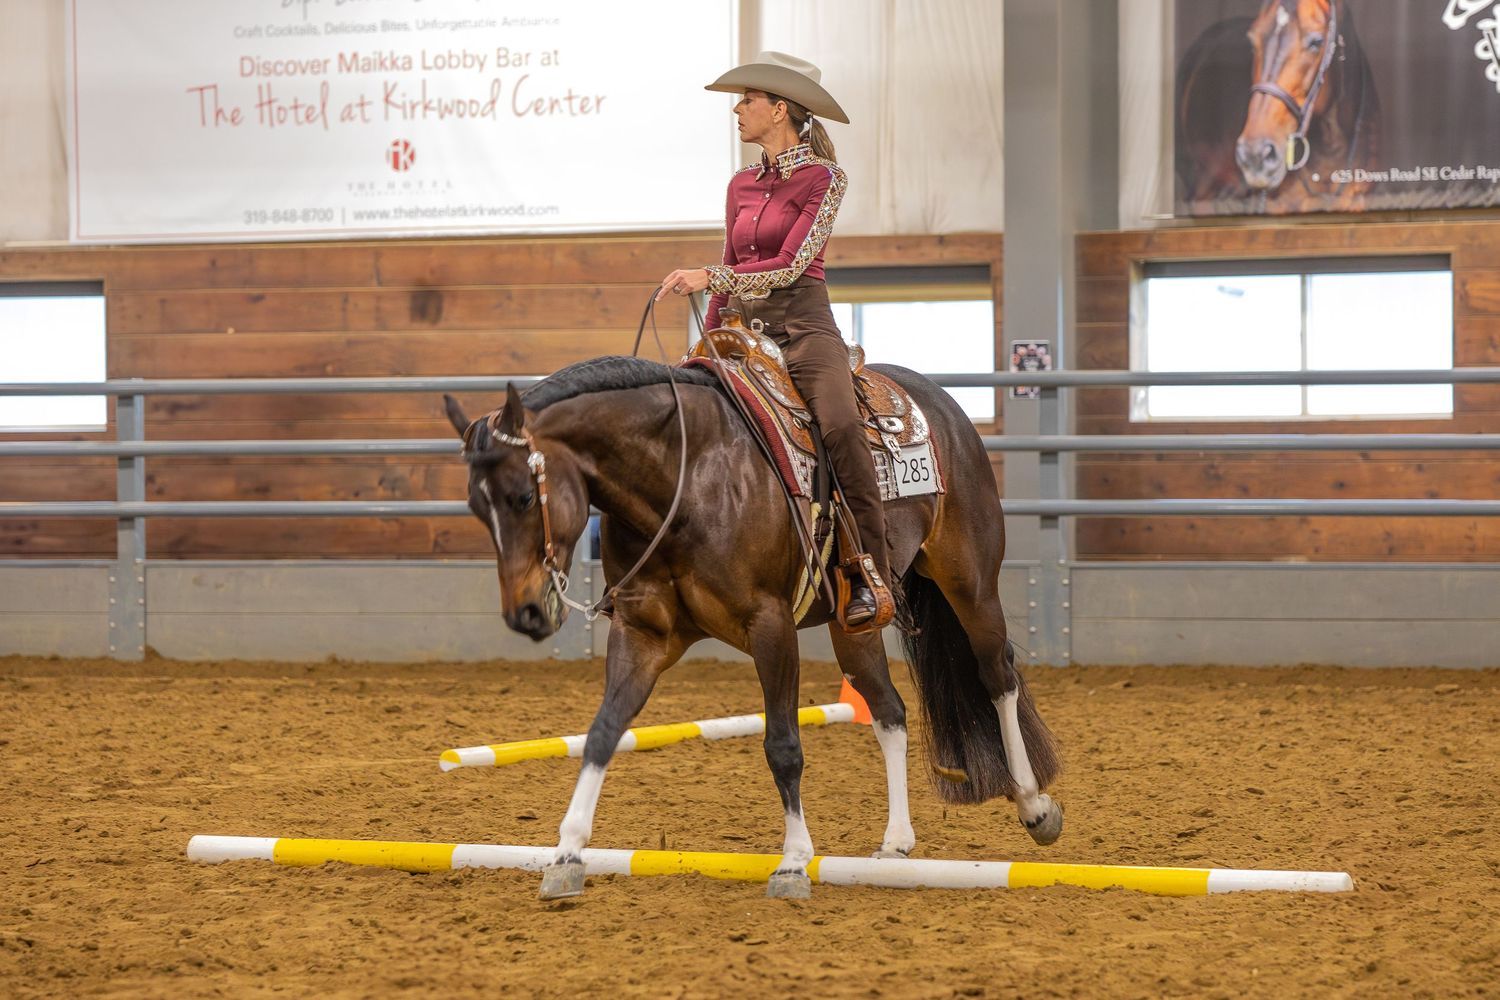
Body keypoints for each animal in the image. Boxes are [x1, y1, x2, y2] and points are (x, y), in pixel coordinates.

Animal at [443, 354, 1062, 900]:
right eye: (475, 507)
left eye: (523, 496)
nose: (524, 612)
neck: (686, 477)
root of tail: (941, 404)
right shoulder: (642, 634)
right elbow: (602, 732)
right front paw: (567, 855)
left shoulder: (770, 627)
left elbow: (783, 745)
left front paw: (792, 862)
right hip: (855, 624)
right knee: (889, 710)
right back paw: (895, 843)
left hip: (970, 582)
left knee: (997, 675)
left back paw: (1034, 806)